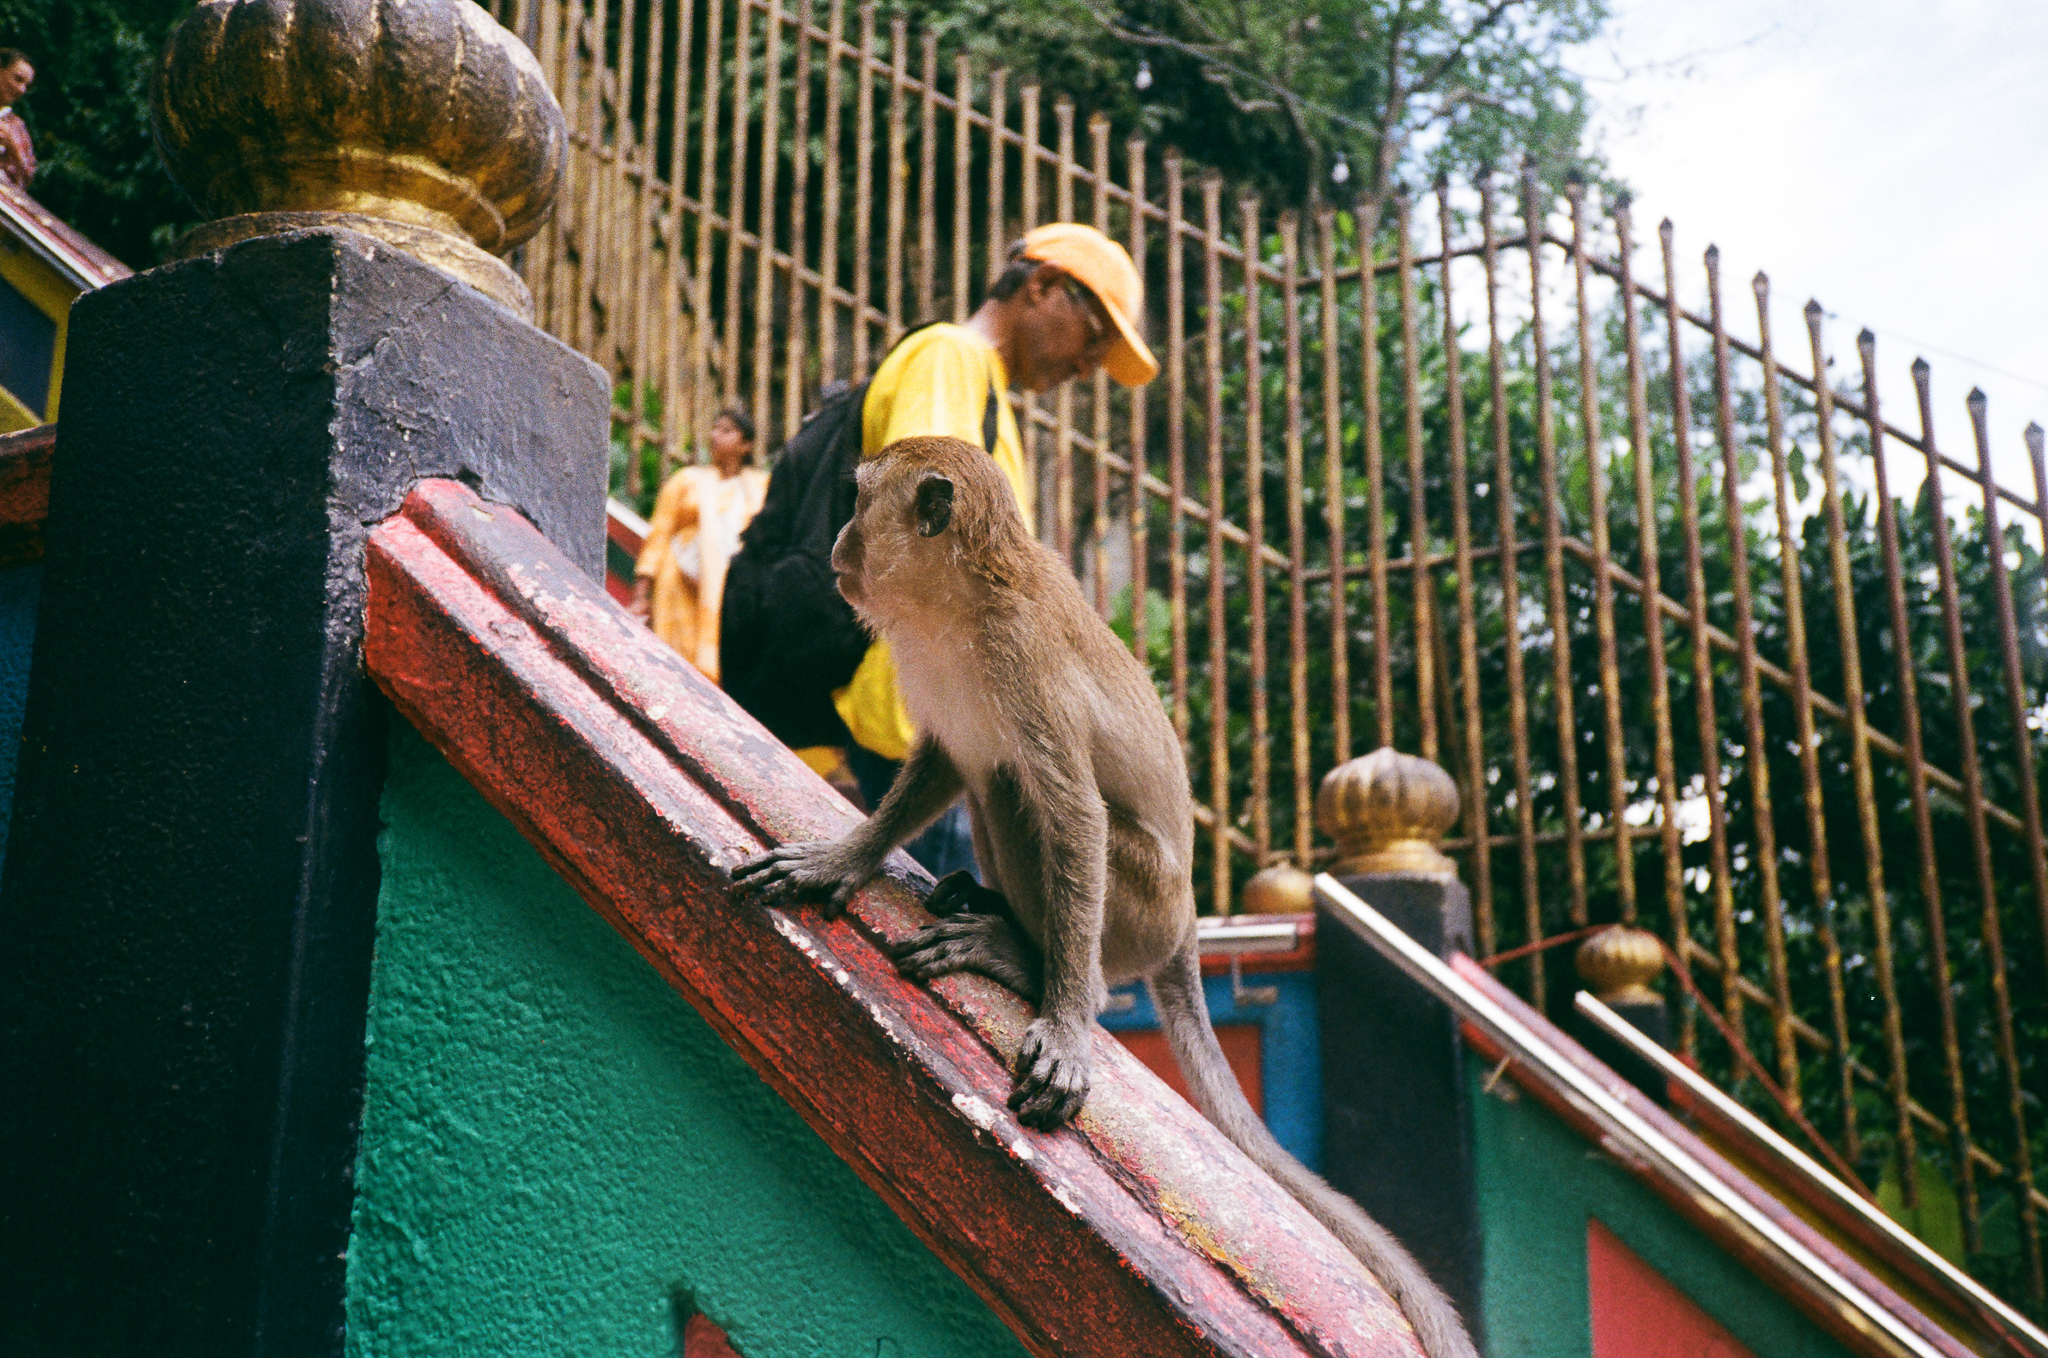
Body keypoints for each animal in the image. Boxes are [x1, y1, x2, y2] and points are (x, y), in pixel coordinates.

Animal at [734, 434, 1475, 1358]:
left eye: (860, 499)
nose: (838, 542)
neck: (964, 600)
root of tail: (1187, 923)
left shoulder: (1022, 667)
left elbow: (1075, 815)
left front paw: (1066, 1027)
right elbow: (944, 759)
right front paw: (842, 860)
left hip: (1141, 910)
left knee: (1021, 790)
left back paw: (1027, 958)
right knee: (989, 771)